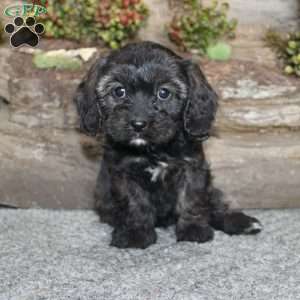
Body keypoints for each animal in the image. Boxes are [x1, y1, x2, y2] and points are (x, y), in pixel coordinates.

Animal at [73, 42, 262, 248]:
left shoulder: (192, 168)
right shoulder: (123, 172)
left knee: (215, 206)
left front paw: (193, 229)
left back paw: (241, 222)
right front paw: (135, 232)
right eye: (119, 91)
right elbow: (134, 202)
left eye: (163, 93)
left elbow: (191, 199)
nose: (138, 124)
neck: (154, 149)